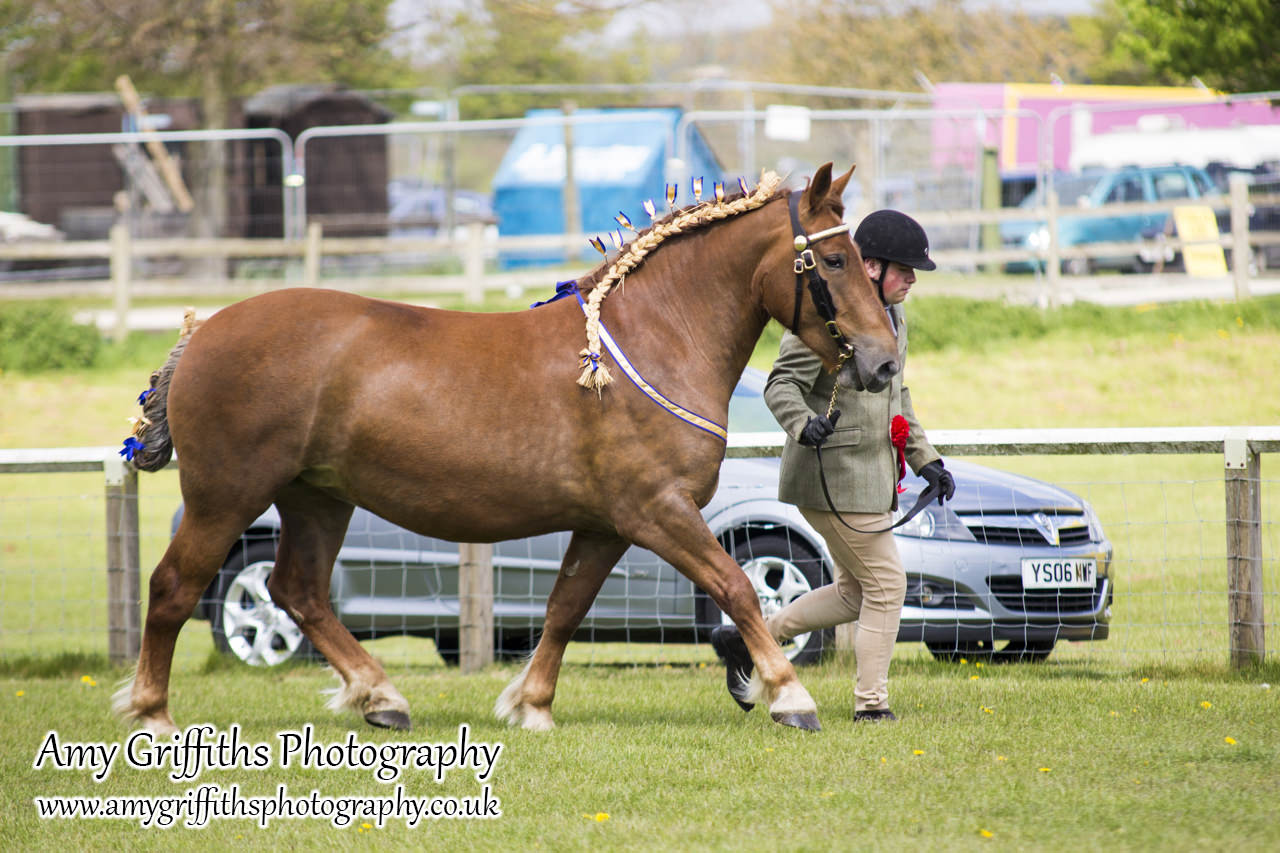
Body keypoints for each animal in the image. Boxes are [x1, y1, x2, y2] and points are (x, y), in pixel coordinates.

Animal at [117, 162, 901, 732]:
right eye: (835, 259)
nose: (884, 362)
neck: (646, 341)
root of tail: (205, 332)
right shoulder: (659, 513)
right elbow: (737, 586)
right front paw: (789, 695)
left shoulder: (605, 524)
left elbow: (564, 607)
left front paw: (532, 703)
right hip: (227, 494)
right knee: (175, 586)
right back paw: (152, 715)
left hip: (317, 497)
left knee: (298, 591)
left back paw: (381, 697)